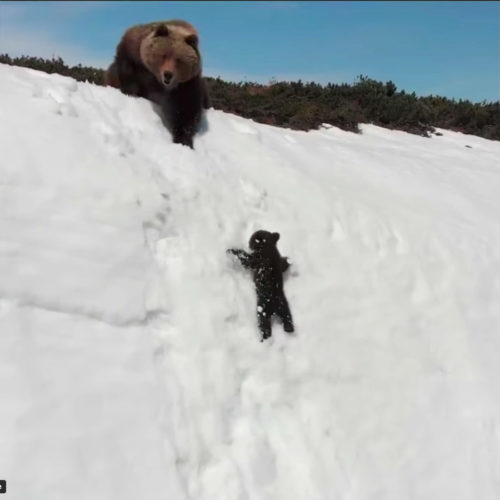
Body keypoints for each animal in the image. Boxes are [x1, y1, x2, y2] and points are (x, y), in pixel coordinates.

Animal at [105, 20, 209, 148]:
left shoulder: (186, 84)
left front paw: (184, 140)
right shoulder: (134, 54)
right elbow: (127, 70)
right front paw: (130, 92)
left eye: (179, 60)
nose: (168, 74)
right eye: (164, 55)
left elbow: (186, 110)